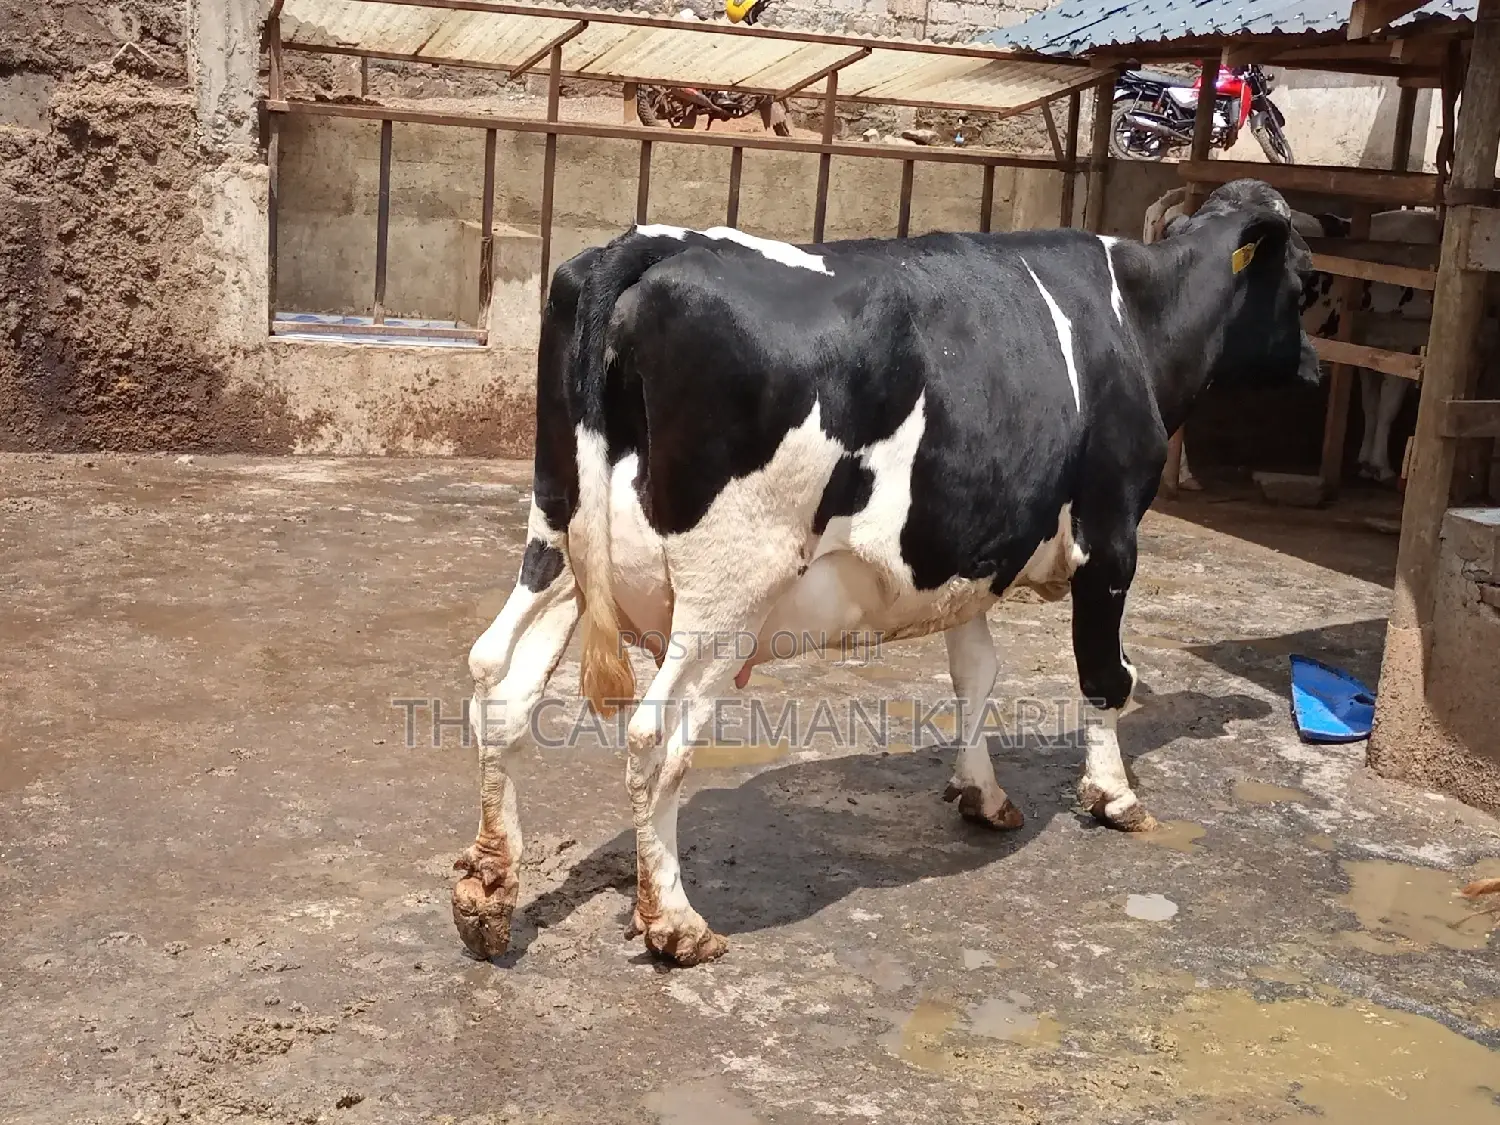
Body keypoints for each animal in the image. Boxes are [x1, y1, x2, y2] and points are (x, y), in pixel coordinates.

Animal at [452, 179, 1319, 967]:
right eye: (1308, 283)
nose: (1314, 371)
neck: (1136, 315)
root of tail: (644, 246)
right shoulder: (1110, 533)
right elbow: (1106, 673)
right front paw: (1115, 795)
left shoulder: (972, 548)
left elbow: (977, 670)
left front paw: (980, 791)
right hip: (726, 590)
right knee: (651, 736)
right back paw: (675, 922)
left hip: (560, 538)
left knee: (499, 677)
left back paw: (488, 889)